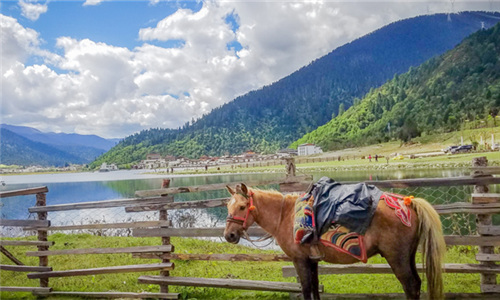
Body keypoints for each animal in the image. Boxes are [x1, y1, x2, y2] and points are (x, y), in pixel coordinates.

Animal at [223, 183, 446, 300]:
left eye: (242, 207)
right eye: (228, 206)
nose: (229, 235)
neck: (285, 215)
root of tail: (407, 203)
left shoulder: (300, 260)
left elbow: (306, 289)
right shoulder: (311, 260)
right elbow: (314, 287)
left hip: (397, 258)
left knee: (410, 285)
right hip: (408, 256)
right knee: (416, 284)